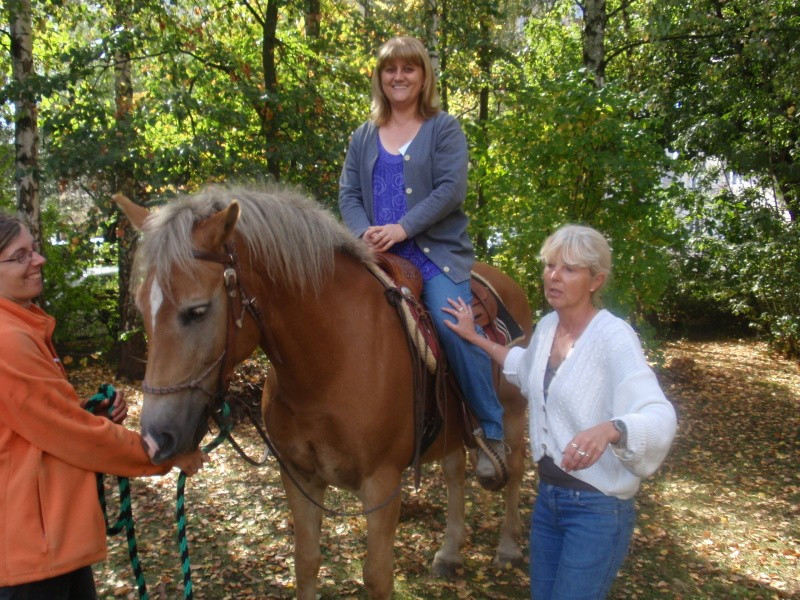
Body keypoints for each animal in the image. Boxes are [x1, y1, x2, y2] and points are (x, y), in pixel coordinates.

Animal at [114, 184, 533, 600]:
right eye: (142, 309)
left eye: (197, 310)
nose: (155, 439)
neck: (328, 366)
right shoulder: (300, 478)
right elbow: (306, 562)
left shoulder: (382, 485)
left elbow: (377, 576)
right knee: (454, 473)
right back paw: (449, 551)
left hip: (514, 414)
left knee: (514, 469)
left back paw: (509, 546)